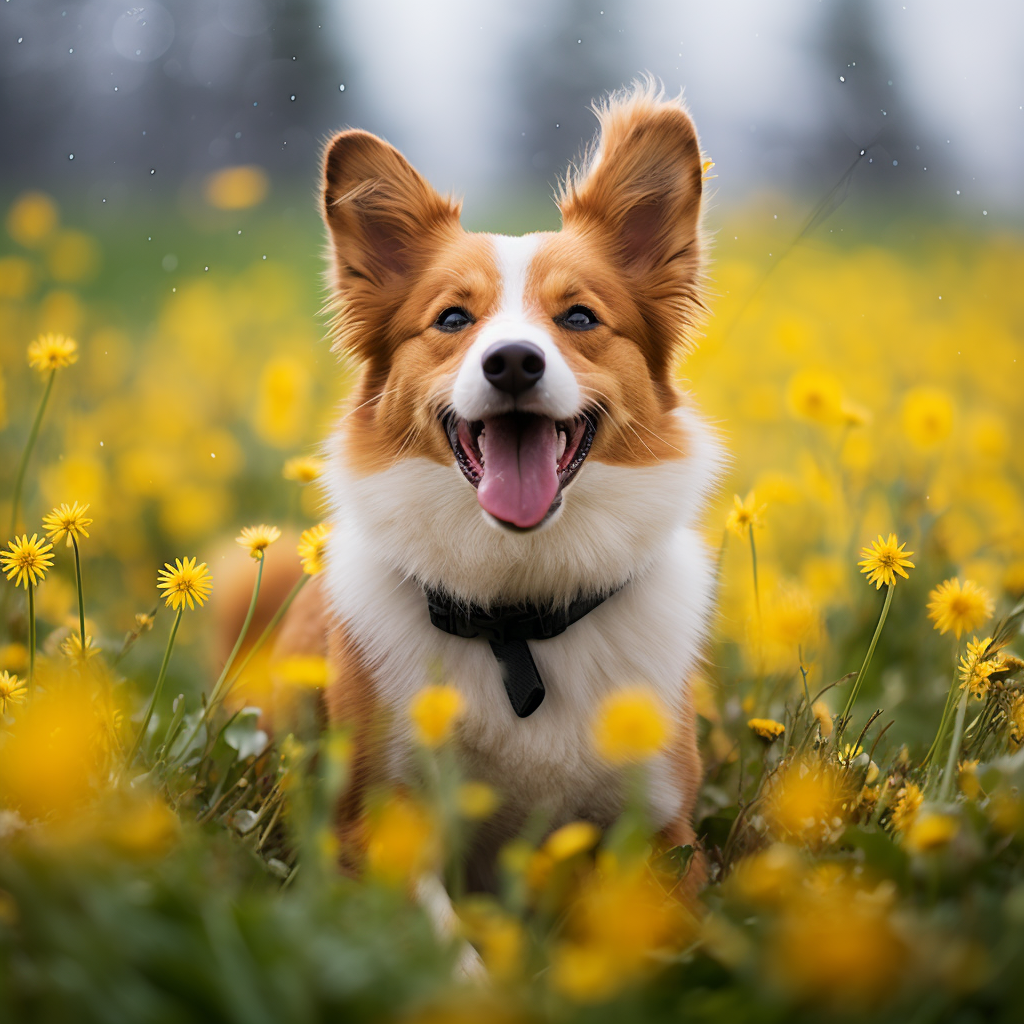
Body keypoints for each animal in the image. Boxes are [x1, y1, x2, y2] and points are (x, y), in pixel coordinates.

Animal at [276, 77, 724, 913]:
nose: (513, 361)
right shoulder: (370, 825)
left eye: (578, 316)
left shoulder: (668, 831)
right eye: (453, 318)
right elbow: (434, 930)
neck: (518, 617)